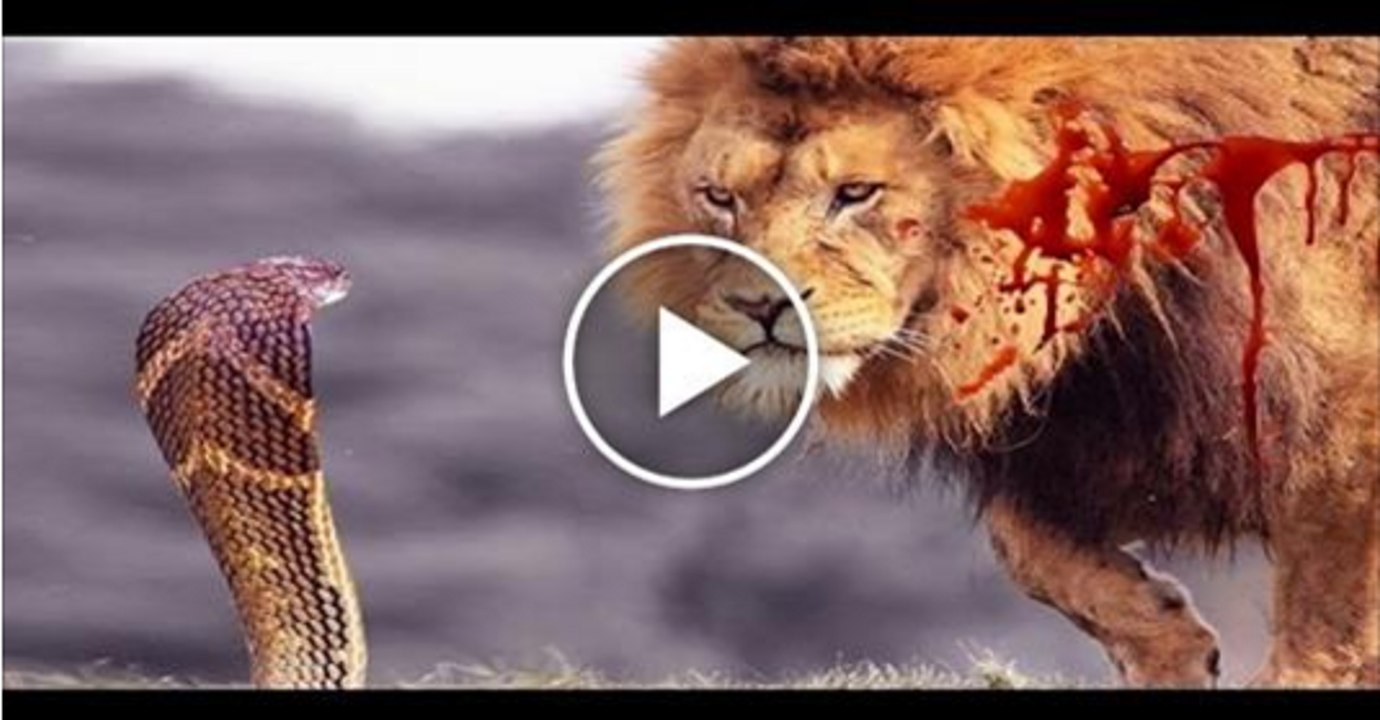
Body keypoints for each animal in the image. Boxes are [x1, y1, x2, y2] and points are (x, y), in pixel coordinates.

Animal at [597, 37, 1379, 687]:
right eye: (720, 197)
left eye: (856, 192)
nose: (759, 306)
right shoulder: (1092, 430)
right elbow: (1028, 551)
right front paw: (1170, 648)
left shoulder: (1338, 426)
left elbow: (1326, 618)